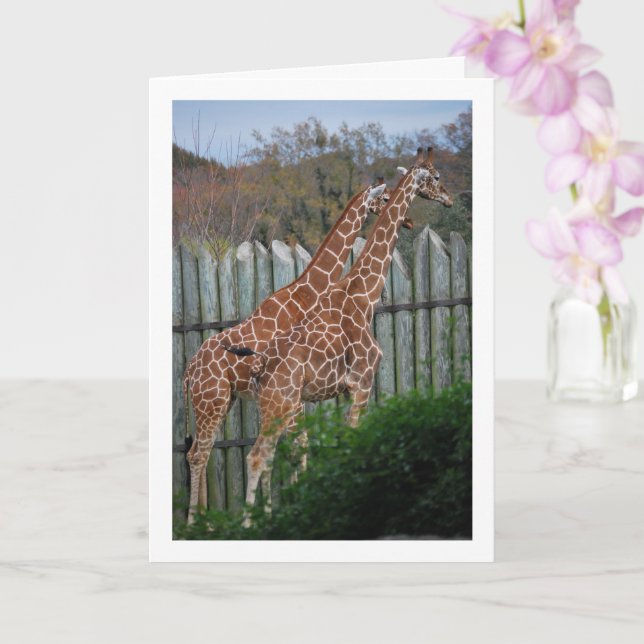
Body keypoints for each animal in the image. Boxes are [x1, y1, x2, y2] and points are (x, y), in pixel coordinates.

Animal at [183, 180, 398, 523]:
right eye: (385, 197)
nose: (408, 220)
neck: (304, 293)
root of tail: (189, 371)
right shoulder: (293, 392)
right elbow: (297, 444)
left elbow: (288, 446)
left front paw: (273, 510)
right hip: (212, 402)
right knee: (199, 454)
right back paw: (195, 522)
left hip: (219, 402)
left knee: (201, 451)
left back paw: (206, 519)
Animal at [228, 148, 454, 510]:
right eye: (435, 176)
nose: (448, 199)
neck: (363, 294)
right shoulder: (362, 384)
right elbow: (349, 442)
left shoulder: (341, 392)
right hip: (281, 402)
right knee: (257, 454)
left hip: (273, 405)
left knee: (264, 453)